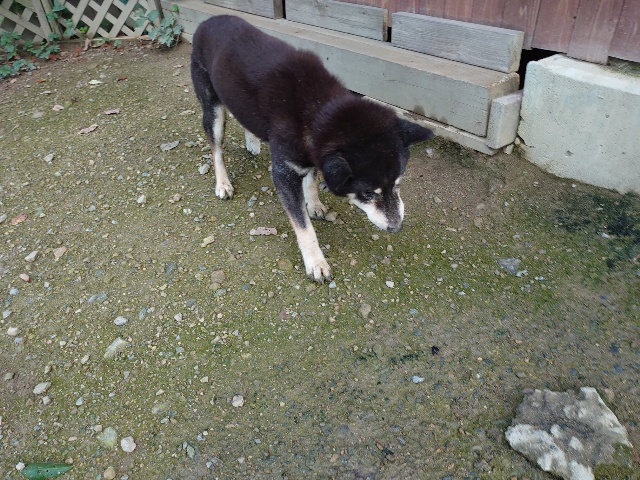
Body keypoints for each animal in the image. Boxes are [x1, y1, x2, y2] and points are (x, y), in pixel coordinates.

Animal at [191, 15, 433, 282]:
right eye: (368, 193)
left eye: (398, 184)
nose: (396, 227)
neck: (318, 109)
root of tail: (208, 20)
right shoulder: (284, 174)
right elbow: (303, 226)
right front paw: (316, 261)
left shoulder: (312, 154)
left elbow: (312, 178)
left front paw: (314, 202)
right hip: (212, 108)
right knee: (216, 149)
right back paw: (223, 183)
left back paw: (252, 141)